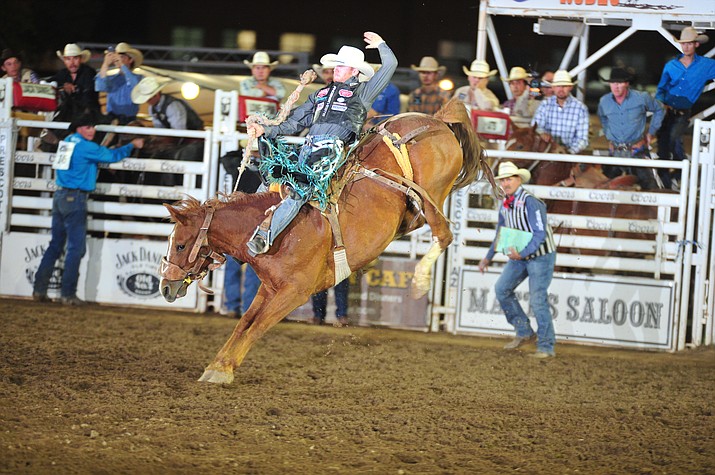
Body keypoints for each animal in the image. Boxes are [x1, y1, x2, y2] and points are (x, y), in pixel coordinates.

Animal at [160, 98, 490, 384]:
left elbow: (257, 327)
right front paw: (217, 364)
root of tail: (436, 120)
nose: (165, 286)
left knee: (443, 233)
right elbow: (245, 322)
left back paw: (420, 280)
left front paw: (222, 370)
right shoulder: (270, 288)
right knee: (424, 222)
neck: (270, 228)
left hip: (434, 192)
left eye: (180, 245)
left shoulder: (295, 292)